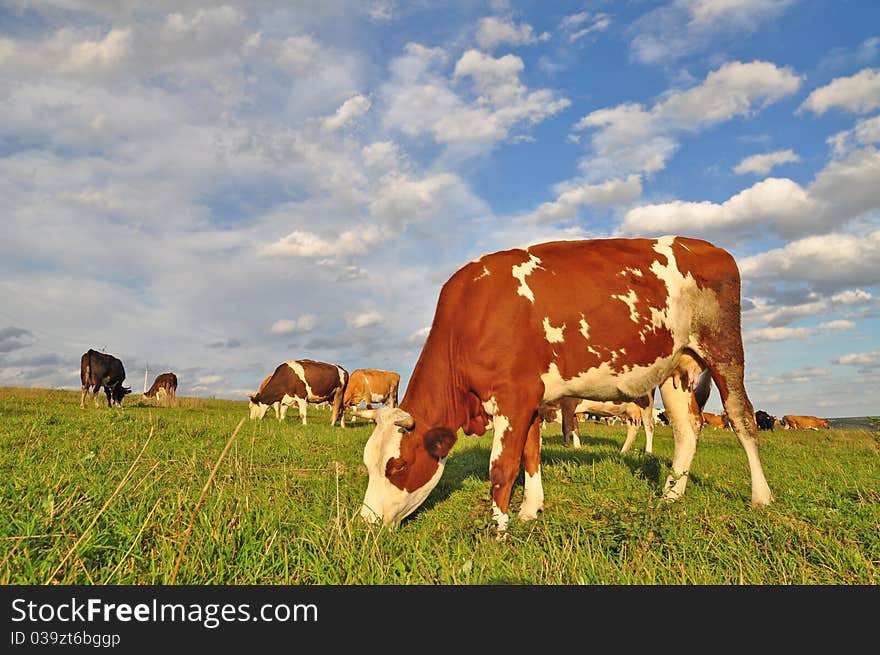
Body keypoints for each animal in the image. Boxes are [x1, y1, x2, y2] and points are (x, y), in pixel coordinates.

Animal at [360, 236, 772, 532]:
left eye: (398, 466)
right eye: (368, 464)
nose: (365, 522)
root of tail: (709, 248)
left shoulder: (513, 397)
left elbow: (501, 468)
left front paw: (498, 531)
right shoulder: (530, 397)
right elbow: (530, 456)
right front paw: (530, 510)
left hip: (724, 351)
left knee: (742, 418)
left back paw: (761, 497)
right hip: (676, 367)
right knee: (688, 428)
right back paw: (671, 495)